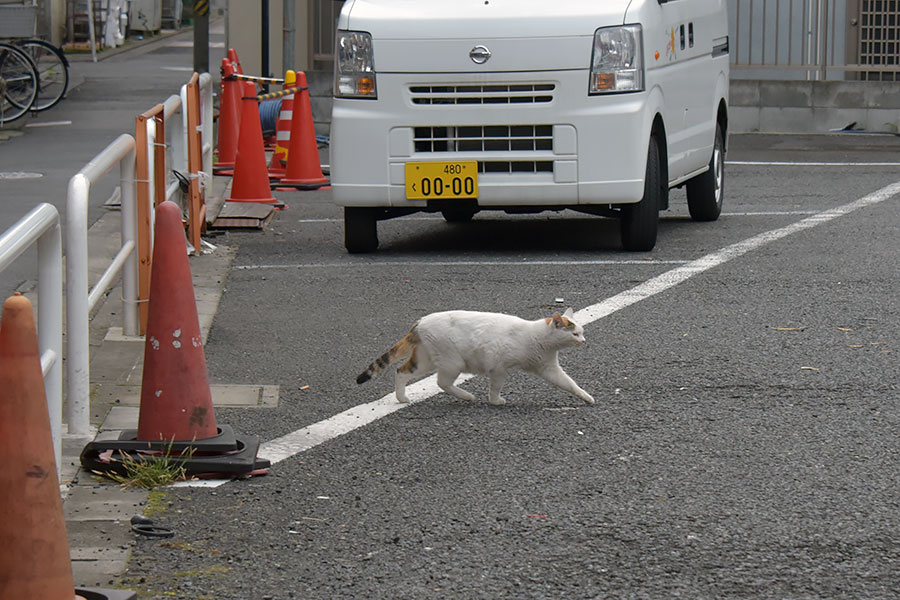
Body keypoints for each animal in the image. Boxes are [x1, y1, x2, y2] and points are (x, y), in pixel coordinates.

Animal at [356, 308, 596, 406]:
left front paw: (586, 397)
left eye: (582, 332)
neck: (537, 338)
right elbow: (495, 387)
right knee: (441, 382)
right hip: (453, 362)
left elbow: (570, 384)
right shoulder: (498, 367)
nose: (584, 341)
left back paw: (401, 398)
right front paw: (495, 401)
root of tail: (420, 321)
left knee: (401, 371)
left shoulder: (549, 368)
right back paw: (467, 396)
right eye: (575, 334)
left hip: (425, 360)